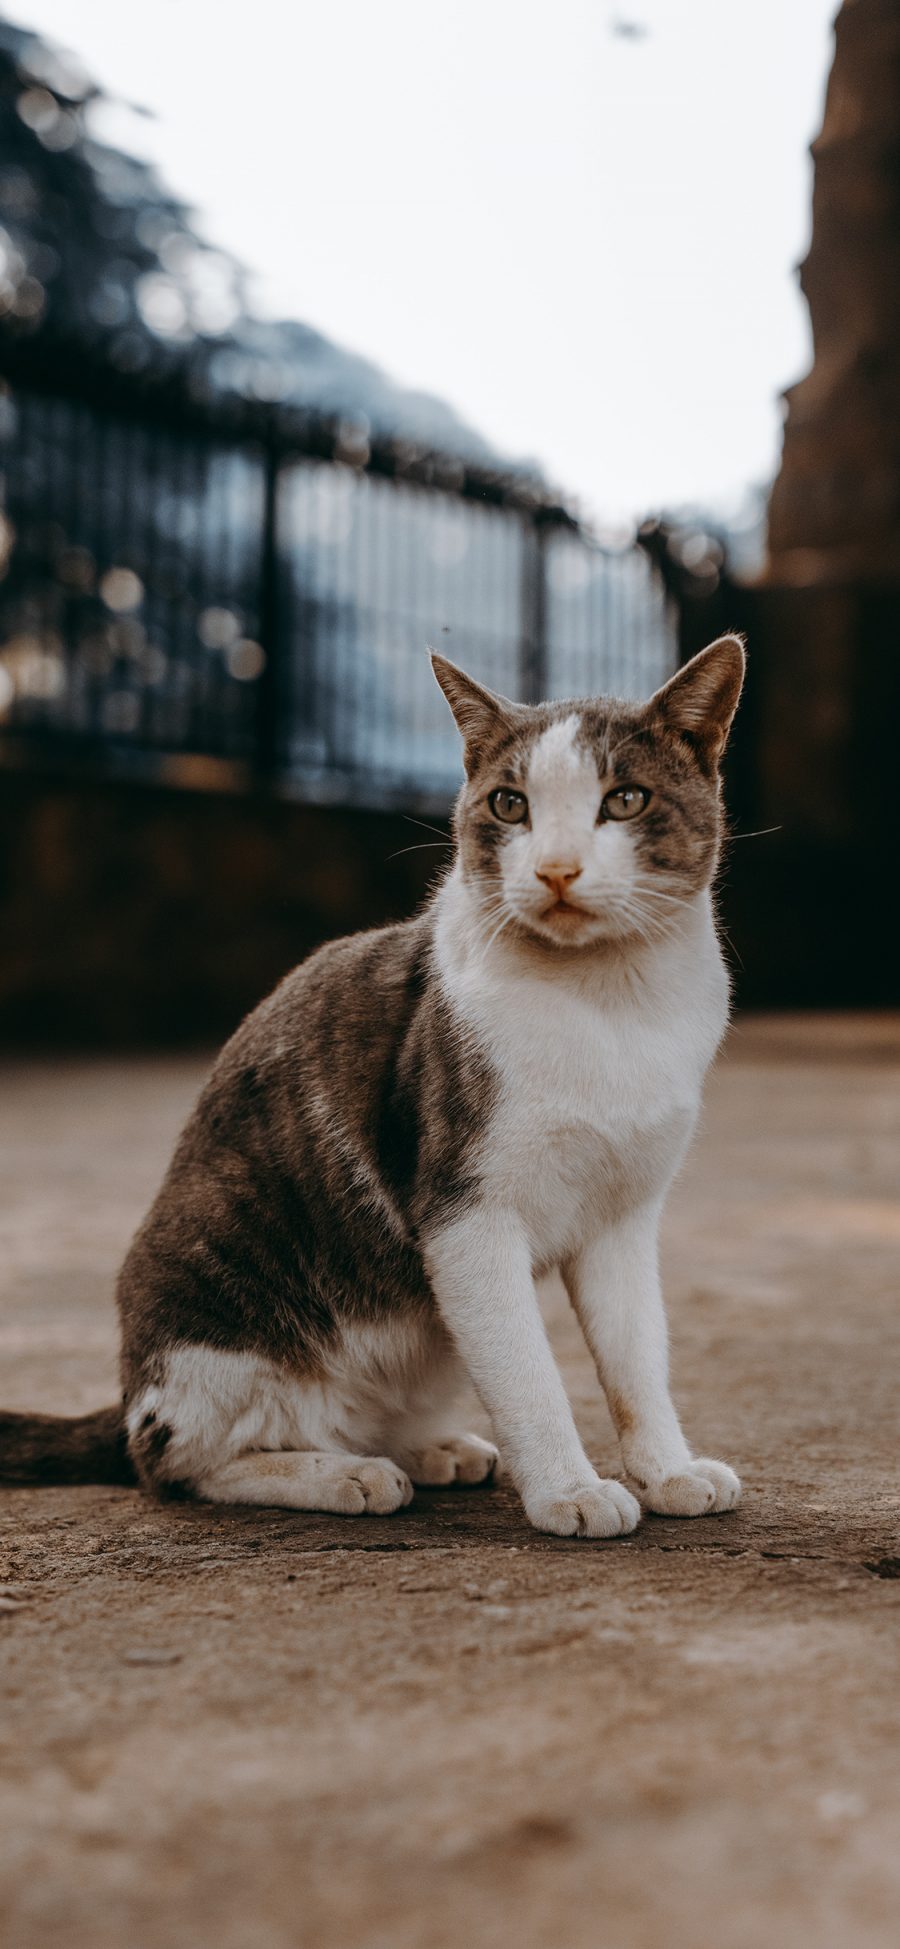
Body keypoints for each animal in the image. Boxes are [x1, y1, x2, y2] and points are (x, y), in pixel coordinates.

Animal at [0, 639, 744, 1535]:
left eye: (625, 799)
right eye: (510, 805)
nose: (557, 870)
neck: (609, 1004)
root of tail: (126, 1394)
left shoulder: (623, 1217)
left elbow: (637, 1360)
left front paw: (667, 1470)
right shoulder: (465, 1214)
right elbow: (528, 1370)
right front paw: (570, 1489)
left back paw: (426, 1449)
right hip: (216, 1292)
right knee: (178, 1461)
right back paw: (341, 1473)